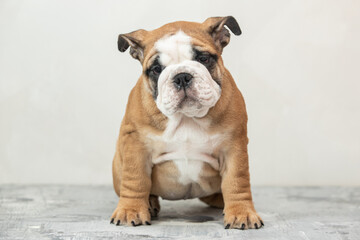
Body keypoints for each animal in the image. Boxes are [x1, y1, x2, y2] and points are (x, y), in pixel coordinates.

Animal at [108, 15, 262, 230]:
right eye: (156, 69)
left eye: (203, 59)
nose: (181, 76)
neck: (187, 117)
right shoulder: (136, 144)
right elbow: (135, 179)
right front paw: (131, 210)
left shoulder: (234, 147)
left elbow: (236, 180)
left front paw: (242, 213)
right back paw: (149, 203)